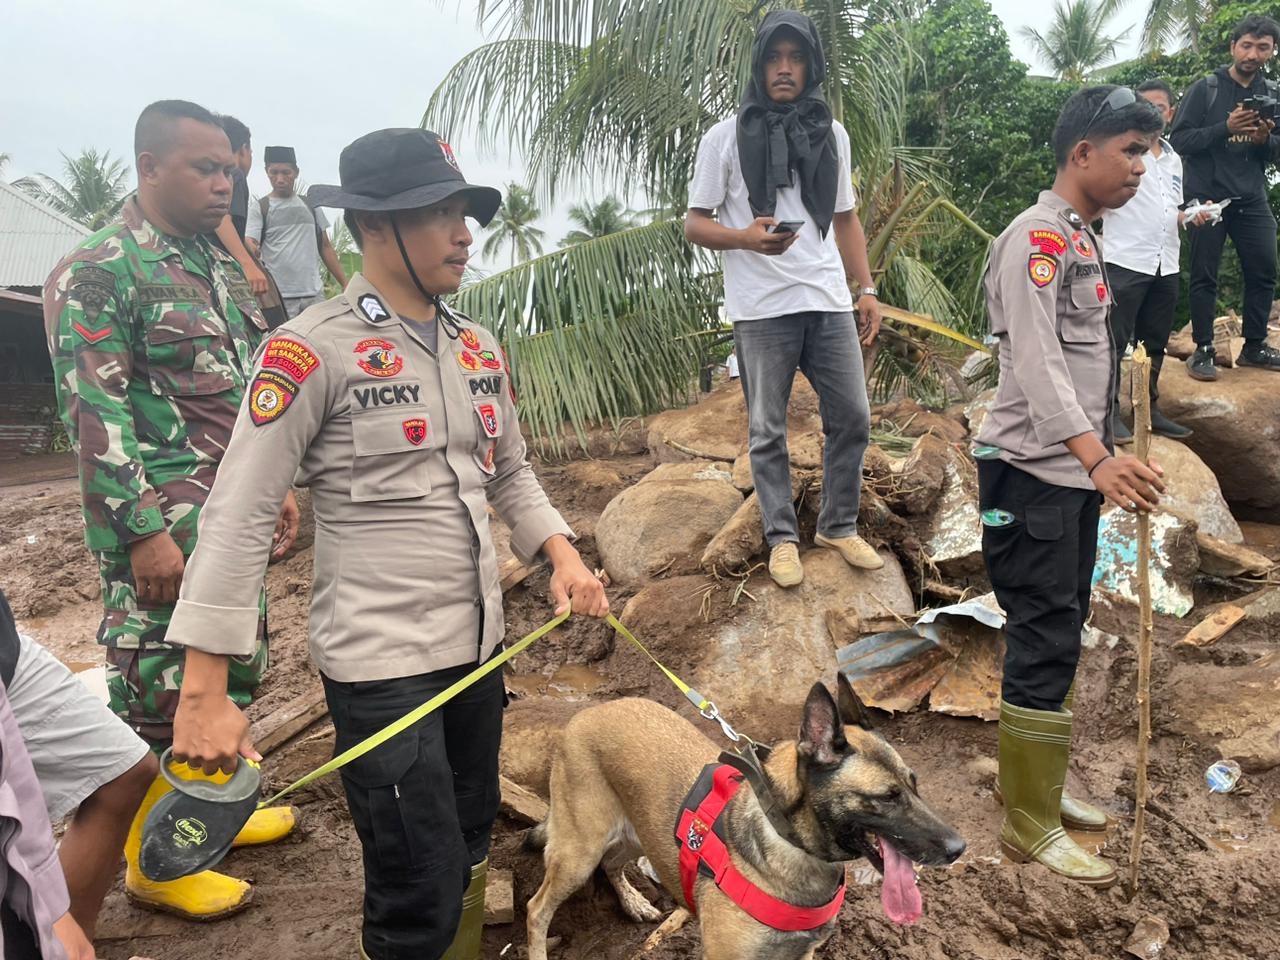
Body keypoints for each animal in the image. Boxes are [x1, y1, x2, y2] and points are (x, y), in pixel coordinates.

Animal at [524, 675, 962, 960]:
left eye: (915, 785)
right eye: (886, 798)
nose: (959, 848)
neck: (790, 842)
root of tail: (588, 712)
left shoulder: (800, 955)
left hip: (636, 832)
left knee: (612, 864)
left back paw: (635, 903)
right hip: (578, 852)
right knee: (537, 909)